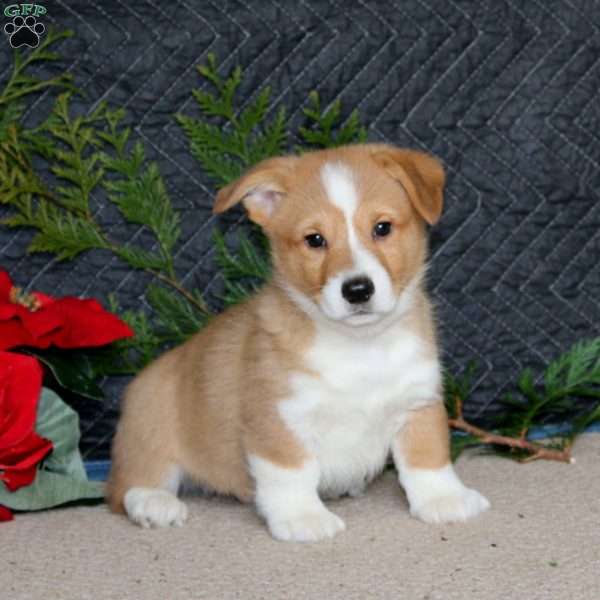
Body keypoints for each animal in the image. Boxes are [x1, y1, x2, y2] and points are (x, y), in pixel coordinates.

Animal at [108, 143, 490, 540]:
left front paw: (444, 499)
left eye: (382, 227)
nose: (357, 290)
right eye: (315, 239)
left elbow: (428, 456)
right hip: (151, 423)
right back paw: (154, 502)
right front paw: (303, 517)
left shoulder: (418, 401)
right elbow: (292, 473)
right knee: (125, 486)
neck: (360, 346)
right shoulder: (278, 418)